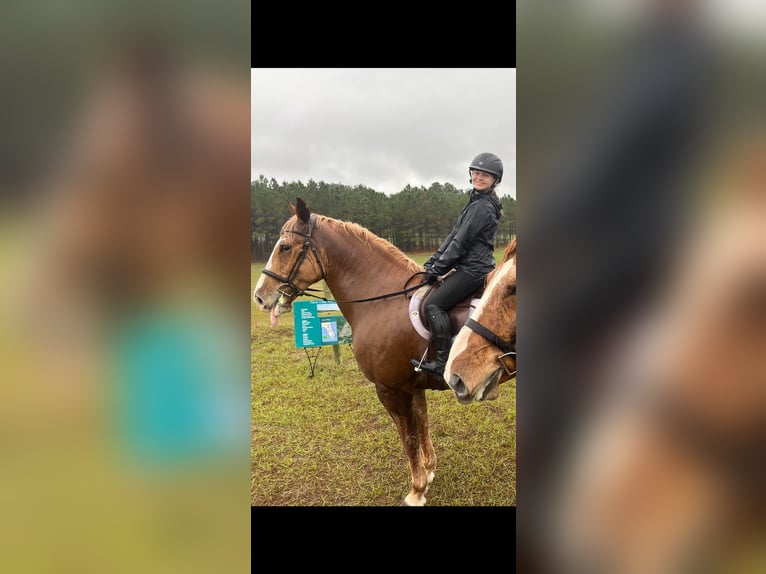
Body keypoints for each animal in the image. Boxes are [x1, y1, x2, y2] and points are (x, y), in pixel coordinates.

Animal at [255, 198, 468, 508]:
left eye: (284, 247)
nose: (260, 296)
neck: (384, 301)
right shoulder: (412, 387)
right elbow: (423, 425)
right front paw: (428, 472)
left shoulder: (391, 389)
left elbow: (408, 438)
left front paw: (416, 491)